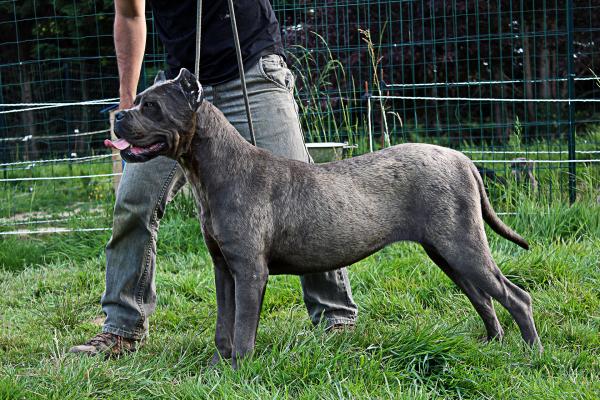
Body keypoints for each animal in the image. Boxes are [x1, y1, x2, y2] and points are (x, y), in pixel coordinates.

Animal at [105, 69, 540, 368]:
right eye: (138, 99)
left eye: (151, 106)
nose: (118, 114)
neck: (213, 170)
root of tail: (463, 160)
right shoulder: (223, 269)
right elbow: (223, 326)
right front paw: (217, 367)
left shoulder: (249, 271)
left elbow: (243, 327)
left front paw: (238, 371)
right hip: (447, 253)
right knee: (483, 297)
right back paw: (493, 343)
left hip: (463, 246)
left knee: (515, 296)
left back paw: (532, 352)